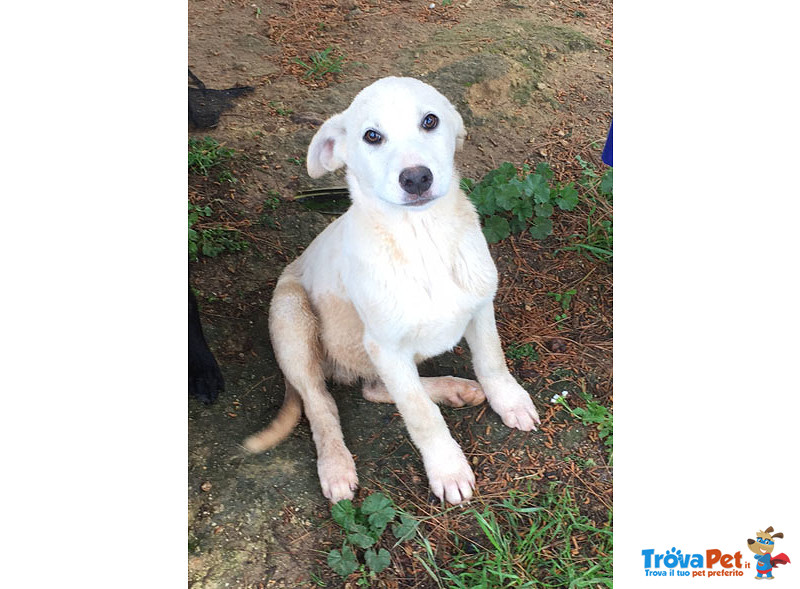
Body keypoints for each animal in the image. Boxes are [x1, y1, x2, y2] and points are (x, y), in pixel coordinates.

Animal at [247, 76, 540, 504]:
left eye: (430, 121)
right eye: (372, 136)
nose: (416, 178)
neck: (422, 239)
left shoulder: (480, 305)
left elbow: (491, 361)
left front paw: (511, 401)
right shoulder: (385, 346)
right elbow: (420, 413)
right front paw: (448, 468)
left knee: (374, 388)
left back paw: (454, 389)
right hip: (291, 317)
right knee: (321, 403)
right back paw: (336, 465)